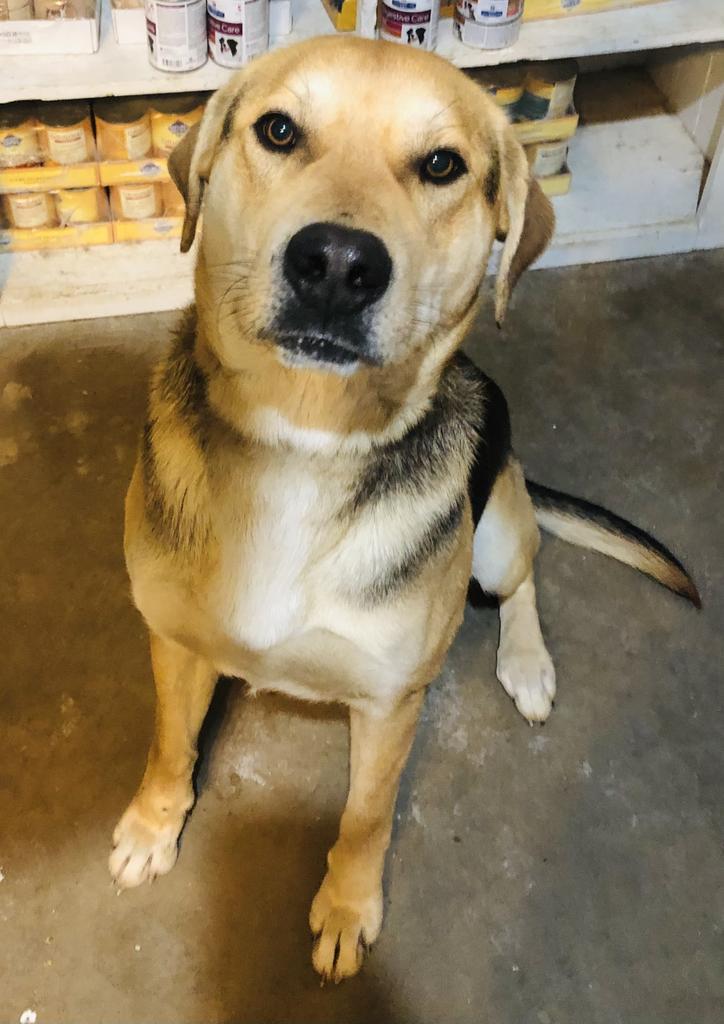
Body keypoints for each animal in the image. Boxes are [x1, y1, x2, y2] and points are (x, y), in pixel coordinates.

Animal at [109, 37, 700, 983]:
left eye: (442, 165)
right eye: (279, 130)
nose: (337, 266)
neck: (304, 442)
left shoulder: (391, 704)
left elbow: (365, 818)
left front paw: (348, 909)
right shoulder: (171, 637)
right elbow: (171, 744)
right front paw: (152, 826)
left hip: (497, 524)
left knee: (522, 580)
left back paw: (527, 665)